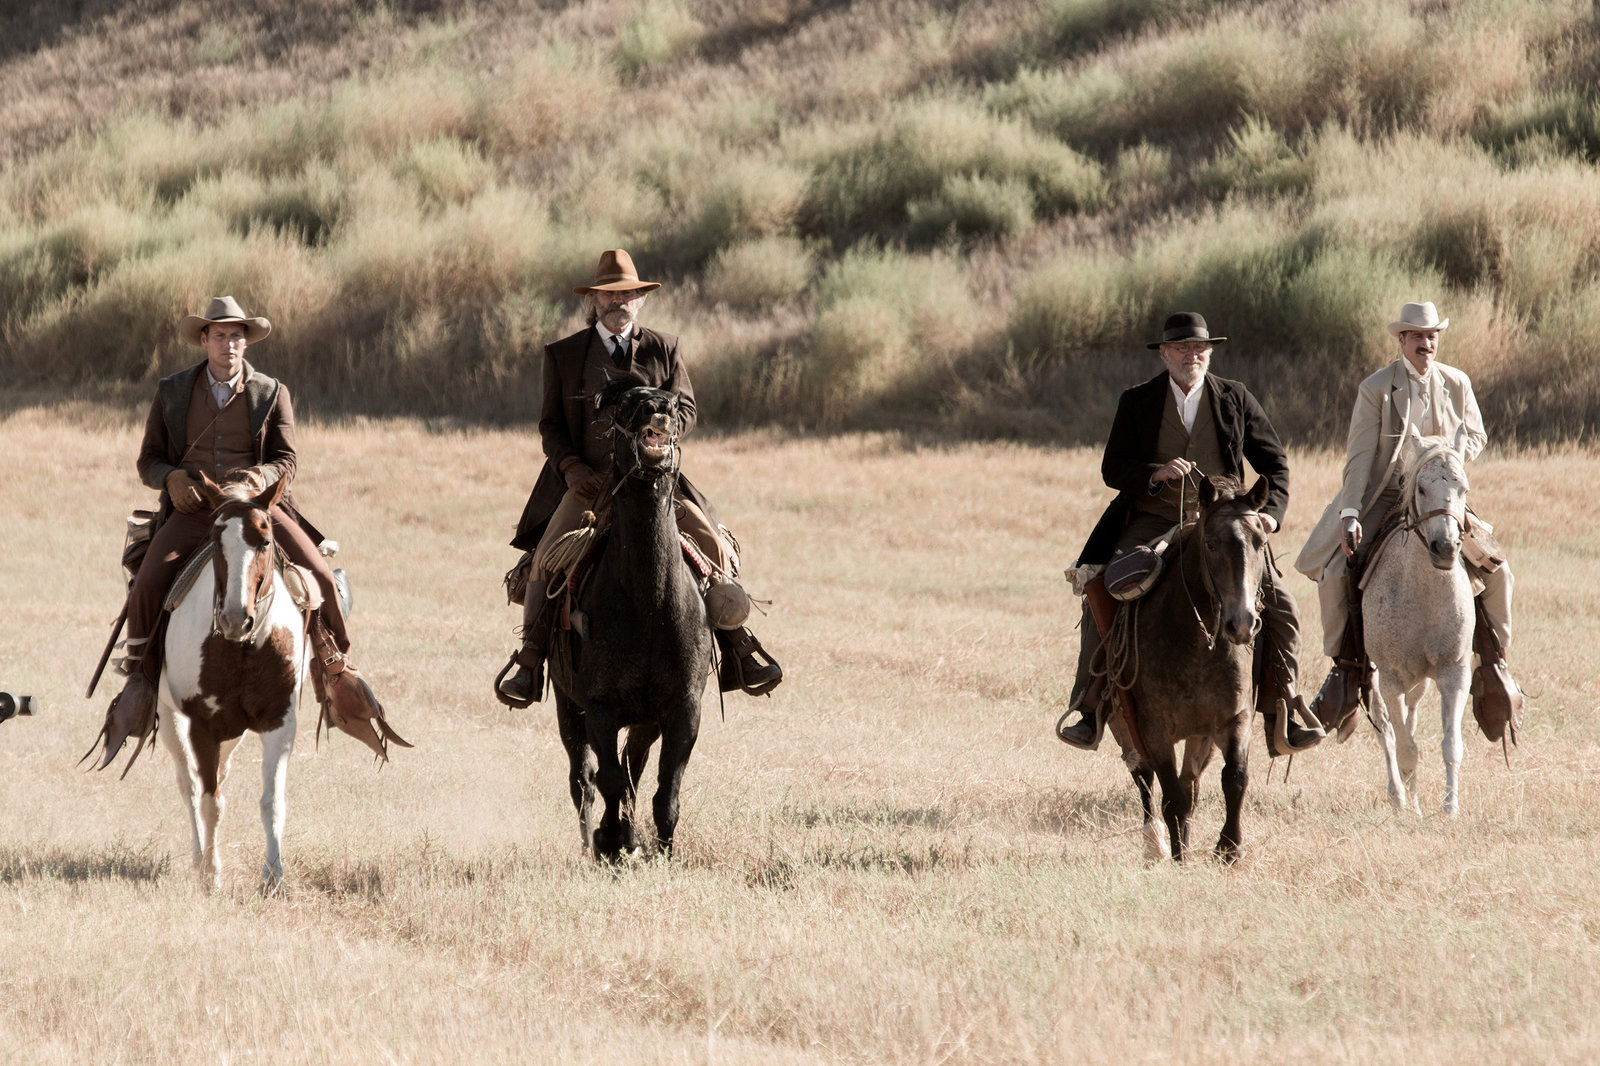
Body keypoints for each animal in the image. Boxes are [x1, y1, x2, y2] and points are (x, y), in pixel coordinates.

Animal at [157, 473, 307, 889]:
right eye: (215, 540)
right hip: (169, 716)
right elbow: (210, 800)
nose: (235, 618)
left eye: (266, 539)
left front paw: (273, 877)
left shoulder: (278, 722)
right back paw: (198, 858)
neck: (242, 647)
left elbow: (272, 802)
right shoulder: (202, 726)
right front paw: (211, 875)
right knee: (189, 784)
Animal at [547, 377, 710, 857]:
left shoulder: (682, 711)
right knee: (584, 779)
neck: (649, 608)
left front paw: (660, 846)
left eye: (675, 404)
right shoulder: (599, 709)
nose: (657, 408)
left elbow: (664, 788)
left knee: (633, 769)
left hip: (645, 722)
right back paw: (592, 842)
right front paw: (610, 839)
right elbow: (609, 779)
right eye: (625, 405)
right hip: (568, 707)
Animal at [1113, 476, 1273, 857]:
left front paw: (1229, 848)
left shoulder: (1235, 720)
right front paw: (1180, 856)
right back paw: (1155, 843)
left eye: (1260, 542)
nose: (1241, 624)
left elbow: (1234, 780)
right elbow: (1172, 797)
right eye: (1211, 544)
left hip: (1200, 736)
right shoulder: (1154, 731)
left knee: (1191, 784)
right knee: (1144, 779)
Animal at [1363, 432, 1472, 813]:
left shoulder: (1455, 673)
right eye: (1421, 488)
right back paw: (1399, 795)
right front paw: (1407, 808)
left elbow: (1451, 744)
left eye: (1463, 488)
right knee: (1387, 731)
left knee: (1409, 717)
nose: (1446, 547)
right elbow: (1405, 747)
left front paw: (1450, 808)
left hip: (1421, 681)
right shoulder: (1390, 679)